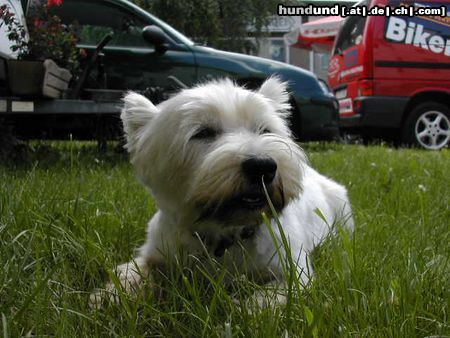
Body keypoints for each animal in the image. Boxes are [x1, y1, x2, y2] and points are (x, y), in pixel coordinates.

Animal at [89, 77, 354, 308]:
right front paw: (106, 297)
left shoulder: (293, 272)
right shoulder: (157, 251)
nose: (263, 166)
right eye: (203, 132)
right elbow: (133, 271)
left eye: (264, 129)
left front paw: (248, 309)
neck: (224, 232)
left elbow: (270, 297)